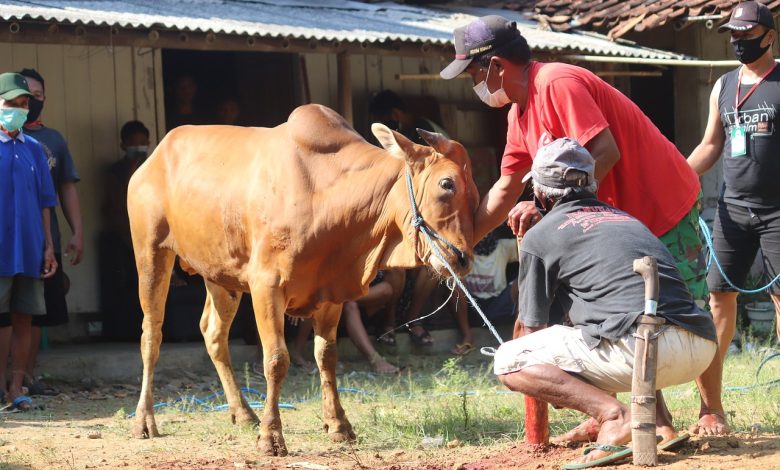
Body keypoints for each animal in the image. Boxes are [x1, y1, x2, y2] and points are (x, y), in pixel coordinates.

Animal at [125, 103, 478, 456]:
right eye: (446, 184)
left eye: (473, 191)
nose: (462, 259)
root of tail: (153, 158)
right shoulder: (266, 285)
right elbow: (276, 359)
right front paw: (271, 437)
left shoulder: (331, 294)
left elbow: (327, 356)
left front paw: (338, 425)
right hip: (151, 252)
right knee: (151, 335)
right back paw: (144, 420)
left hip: (220, 275)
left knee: (213, 334)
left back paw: (243, 412)